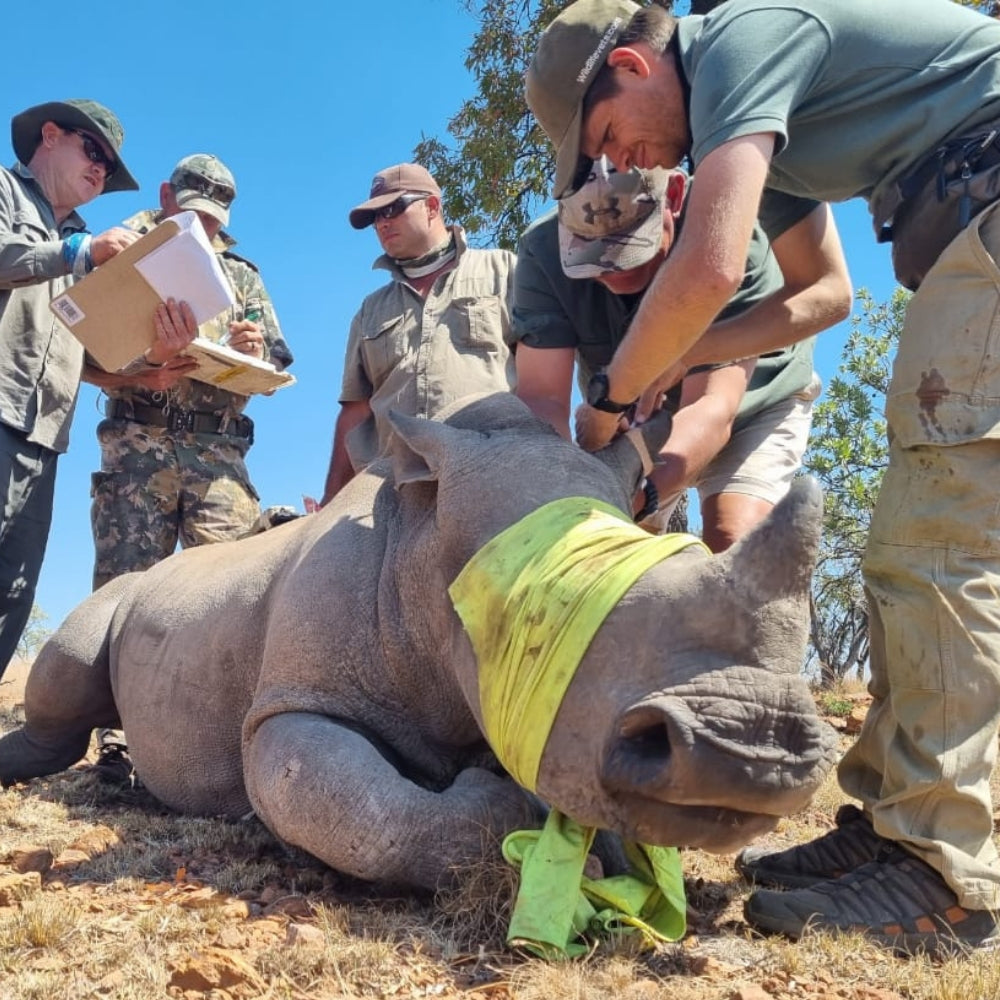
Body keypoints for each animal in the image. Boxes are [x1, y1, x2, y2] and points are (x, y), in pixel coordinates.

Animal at [0, 393, 837, 890]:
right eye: (536, 621)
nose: (752, 753)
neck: (419, 545)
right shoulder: (293, 704)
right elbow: (371, 814)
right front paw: (501, 810)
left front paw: (609, 855)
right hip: (127, 593)